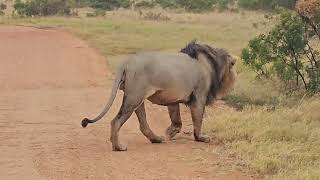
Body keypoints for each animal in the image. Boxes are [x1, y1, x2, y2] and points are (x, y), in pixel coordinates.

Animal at [81, 41, 236, 151]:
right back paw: (118, 147)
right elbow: (198, 120)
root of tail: (127, 62)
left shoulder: (173, 97)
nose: (234, 61)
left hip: (136, 99)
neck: (209, 62)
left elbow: (176, 119)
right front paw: (201, 138)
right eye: (230, 64)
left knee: (142, 124)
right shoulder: (199, 97)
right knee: (116, 121)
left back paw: (156, 139)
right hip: (134, 98)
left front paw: (170, 133)